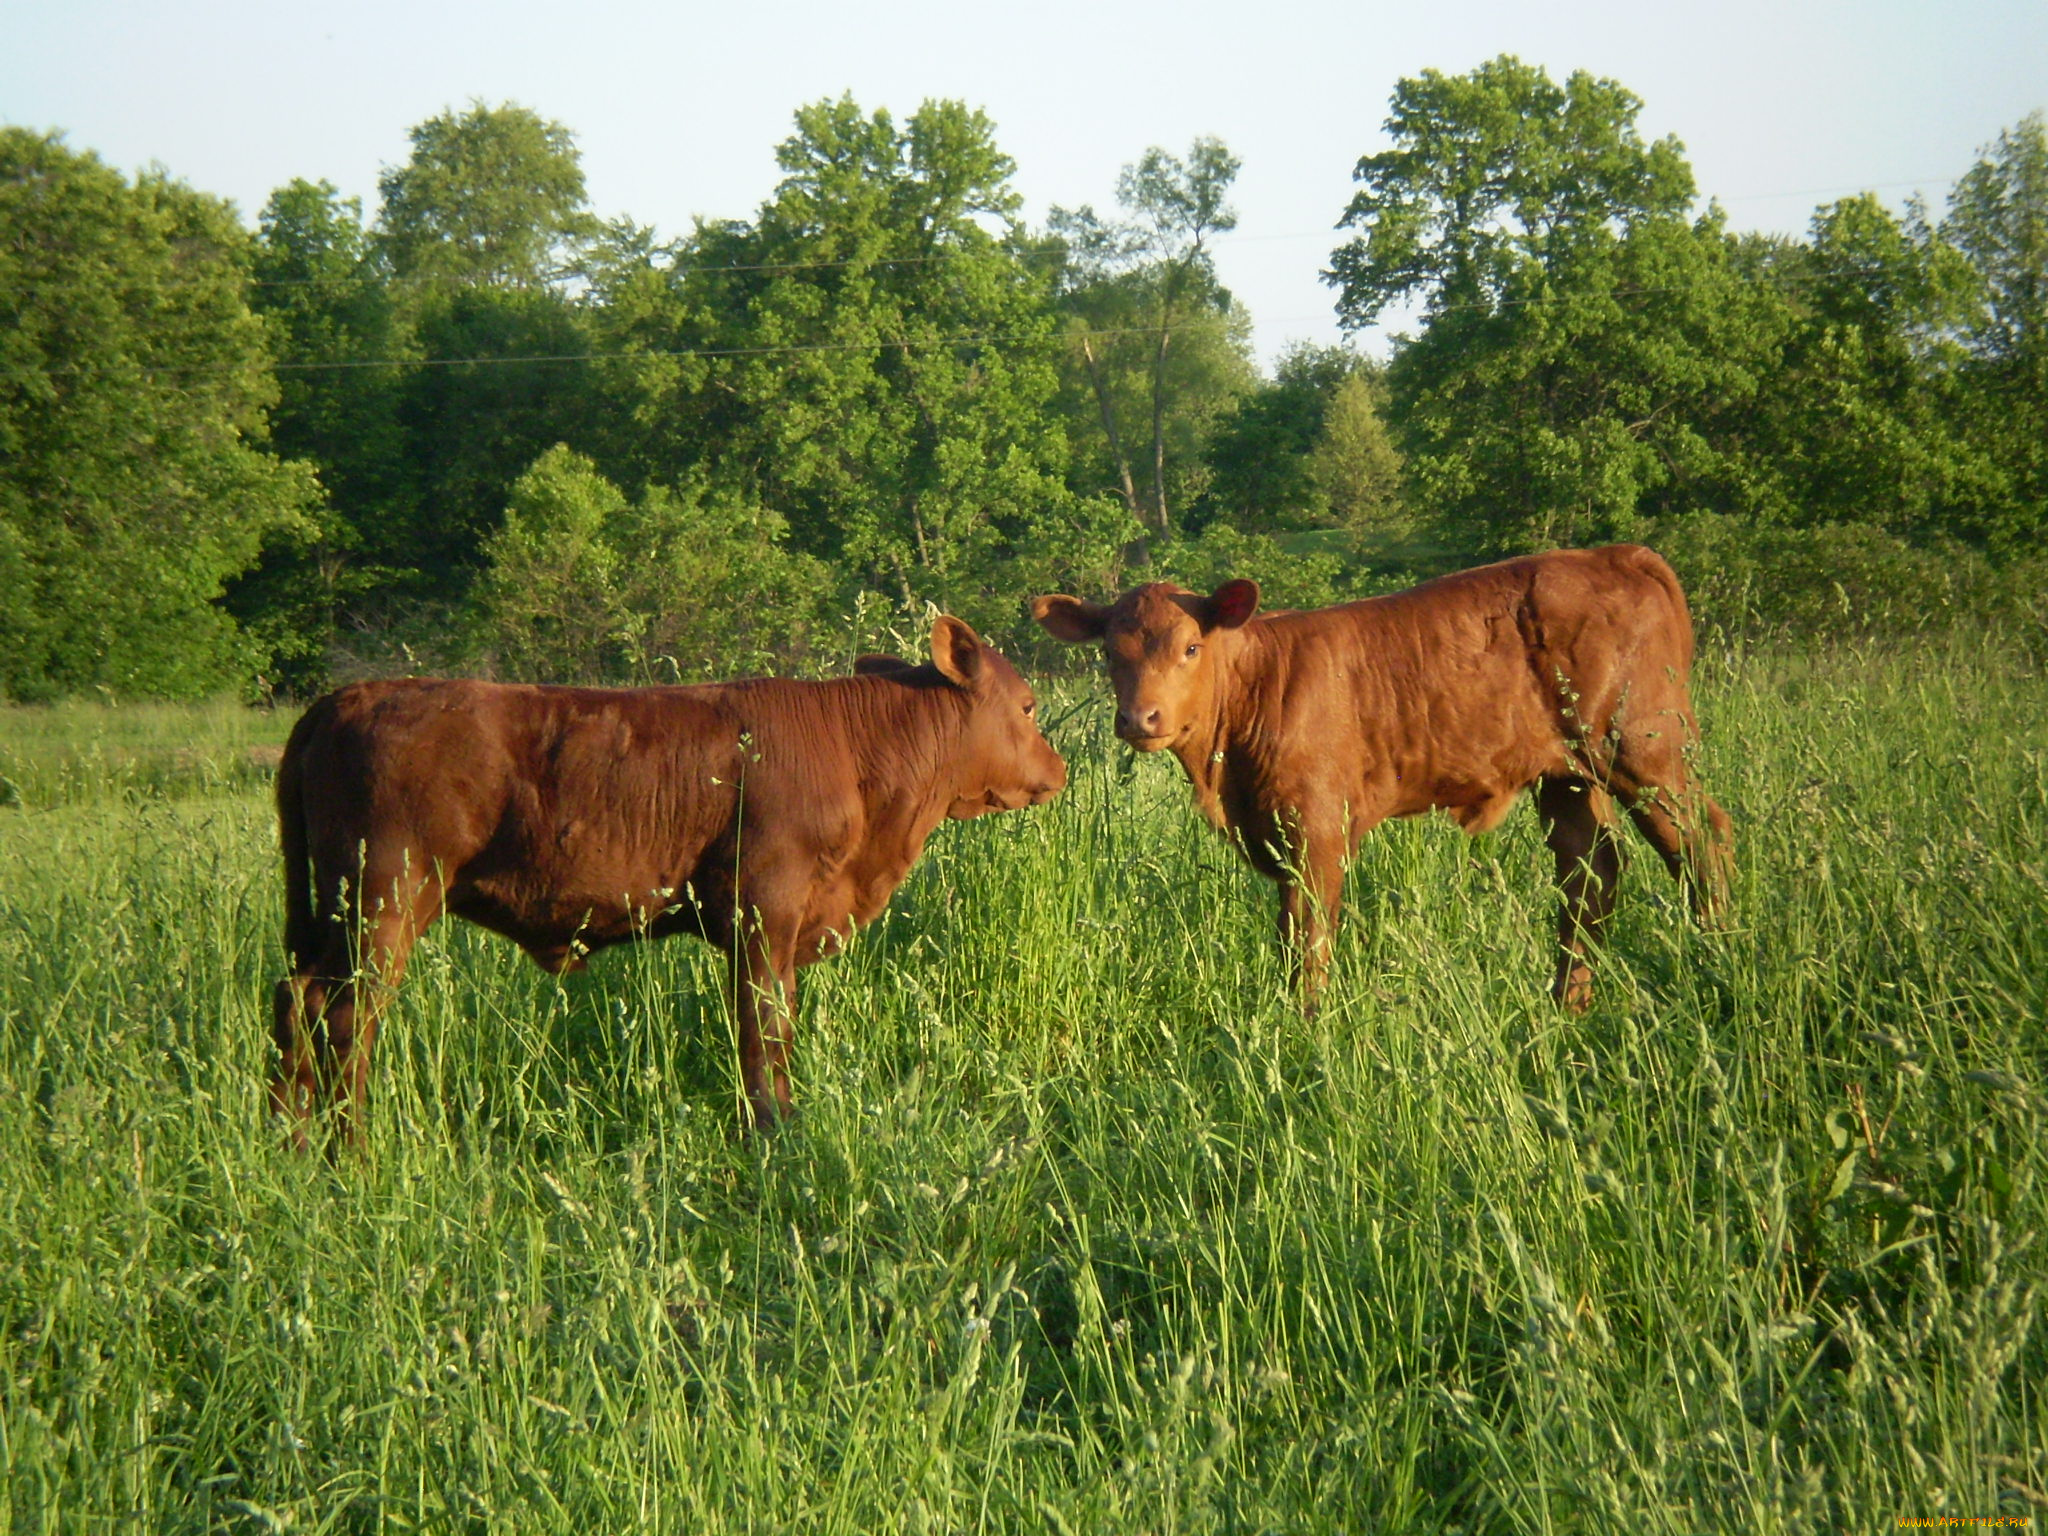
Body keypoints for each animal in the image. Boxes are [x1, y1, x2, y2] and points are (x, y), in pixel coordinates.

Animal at [270, 618, 1064, 1146]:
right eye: (1027, 705)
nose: (1057, 770)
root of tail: (348, 696)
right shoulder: (763, 912)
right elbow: (762, 1028)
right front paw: (771, 1134)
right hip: (384, 901)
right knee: (346, 1018)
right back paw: (350, 1152)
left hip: (334, 915)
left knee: (296, 998)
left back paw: (294, 1141)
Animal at [1040, 548, 1728, 1015]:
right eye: (1110, 651)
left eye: (1189, 648)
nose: (1140, 718)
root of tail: (1617, 554)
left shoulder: (1316, 828)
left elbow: (1309, 936)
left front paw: (1307, 1024)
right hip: (1568, 775)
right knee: (1591, 873)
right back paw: (1566, 1007)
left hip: (1642, 747)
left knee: (1701, 841)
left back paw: (1720, 959)